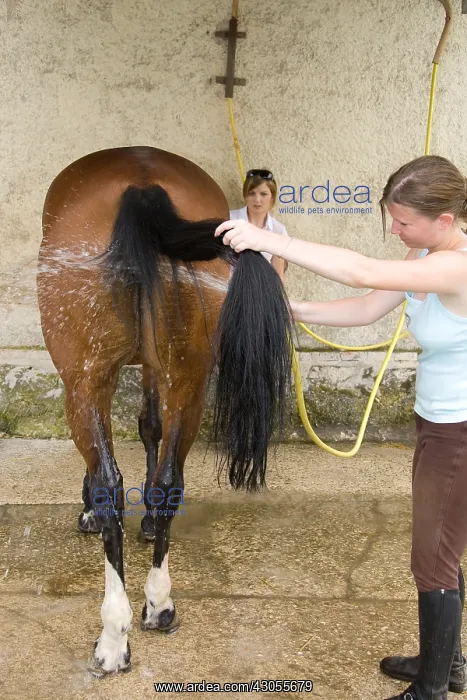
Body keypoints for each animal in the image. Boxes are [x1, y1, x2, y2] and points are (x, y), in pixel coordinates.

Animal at [37, 146, 292, 676]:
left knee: (110, 486)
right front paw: (150, 524)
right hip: (188, 380)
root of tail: (143, 187)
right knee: (172, 480)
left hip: (86, 381)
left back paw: (114, 637)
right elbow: (152, 432)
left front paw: (89, 511)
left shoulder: (85, 379)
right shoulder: (162, 371)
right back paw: (159, 604)